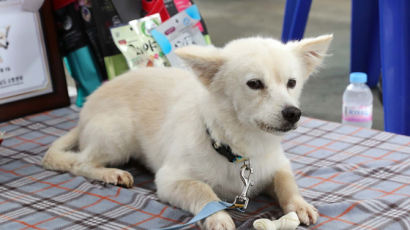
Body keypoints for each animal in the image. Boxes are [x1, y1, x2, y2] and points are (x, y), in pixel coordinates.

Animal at [43, 34, 334, 230]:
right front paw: (218, 216)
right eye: (254, 84)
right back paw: (111, 173)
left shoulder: (277, 165)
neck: (241, 149)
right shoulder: (170, 180)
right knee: (81, 163)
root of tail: (86, 108)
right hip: (118, 136)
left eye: (292, 83)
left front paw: (300, 205)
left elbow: (286, 182)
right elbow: (202, 190)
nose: (293, 113)